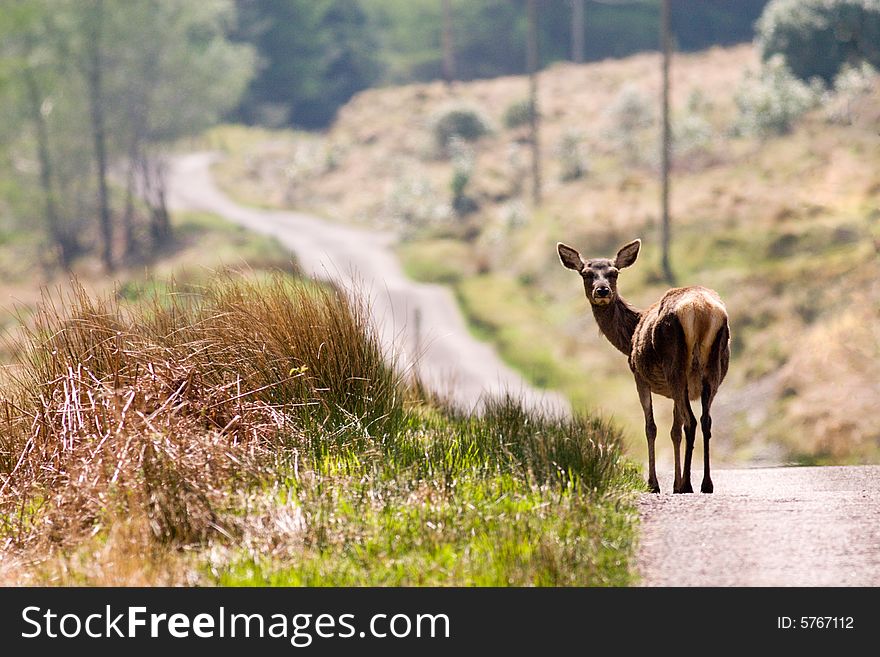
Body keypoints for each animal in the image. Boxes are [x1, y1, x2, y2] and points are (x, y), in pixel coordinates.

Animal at [556, 240, 728, 492]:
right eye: (586, 273)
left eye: (614, 273)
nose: (602, 291)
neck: (629, 337)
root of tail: (700, 310)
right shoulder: (673, 391)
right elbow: (674, 430)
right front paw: (674, 482)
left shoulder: (639, 376)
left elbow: (651, 427)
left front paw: (655, 484)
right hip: (712, 370)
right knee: (705, 420)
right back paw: (706, 483)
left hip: (676, 364)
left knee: (691, 421)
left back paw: (687, 484)